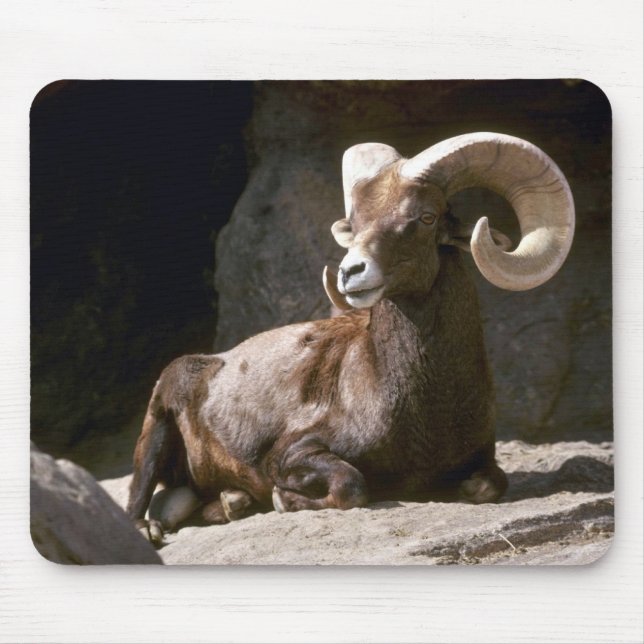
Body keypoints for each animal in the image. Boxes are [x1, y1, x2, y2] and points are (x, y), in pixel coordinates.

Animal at [127, 132, 575, 544]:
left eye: (426, 217)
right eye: (355, 225)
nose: (350, 272)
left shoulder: (483, 462)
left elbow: (488, 486)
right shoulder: (295, 453)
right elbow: (351, 487)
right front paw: (284, 500)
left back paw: (231, 503)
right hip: (157, 424)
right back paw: (152, 527)